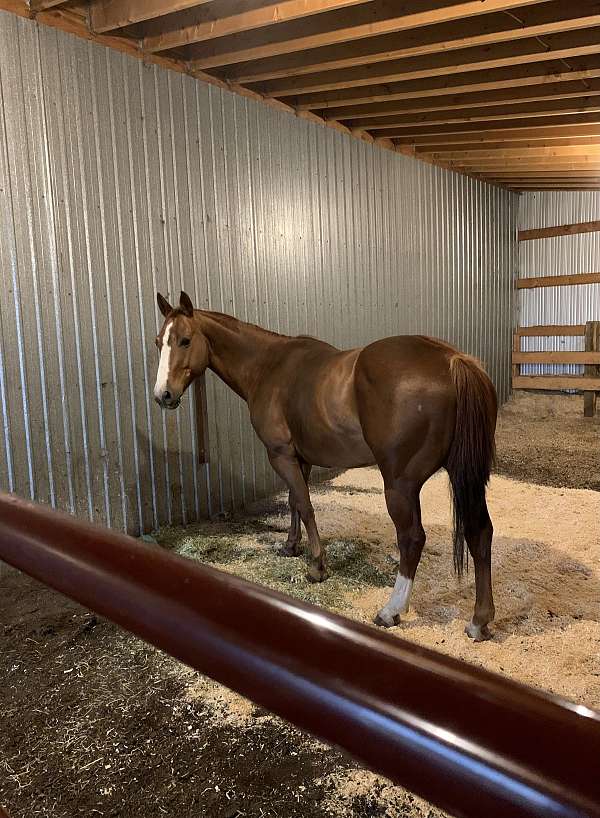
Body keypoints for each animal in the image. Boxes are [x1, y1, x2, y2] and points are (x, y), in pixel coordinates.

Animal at [153, 291, 497, 641]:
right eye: (158, 342)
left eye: (184, 340)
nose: (163, 395)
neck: (268, 367)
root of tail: (452, 360)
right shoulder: (299, 458)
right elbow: (294, 501)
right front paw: (291, 546)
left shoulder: (280, 455)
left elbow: (305, 506)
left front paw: (317, 566)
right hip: (464, 476)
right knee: (480, 532)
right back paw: (479, 621)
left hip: (400, 484)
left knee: (412, 538)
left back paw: (391, 610)